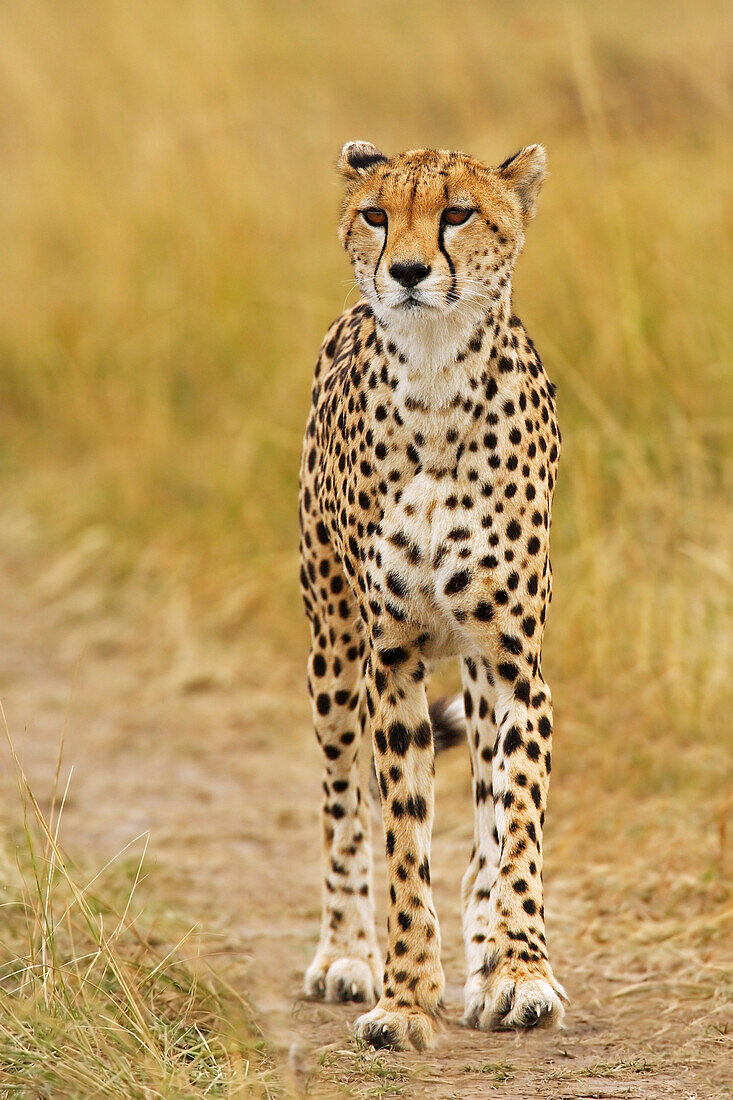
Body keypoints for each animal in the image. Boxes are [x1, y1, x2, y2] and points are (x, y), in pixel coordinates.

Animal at [297, 141, 563, 1051]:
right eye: (378, 214)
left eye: (457, 212)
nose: (408, 271)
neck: (437, 374)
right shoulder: (392, 658)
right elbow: (401, 837)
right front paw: (406, 997)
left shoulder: (513, 662)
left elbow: (515, 823)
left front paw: (516, 970)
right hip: (333, 654)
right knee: (342, 803)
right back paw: (346, 953)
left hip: (476, 674)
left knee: (485, 809)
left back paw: (485, 950)